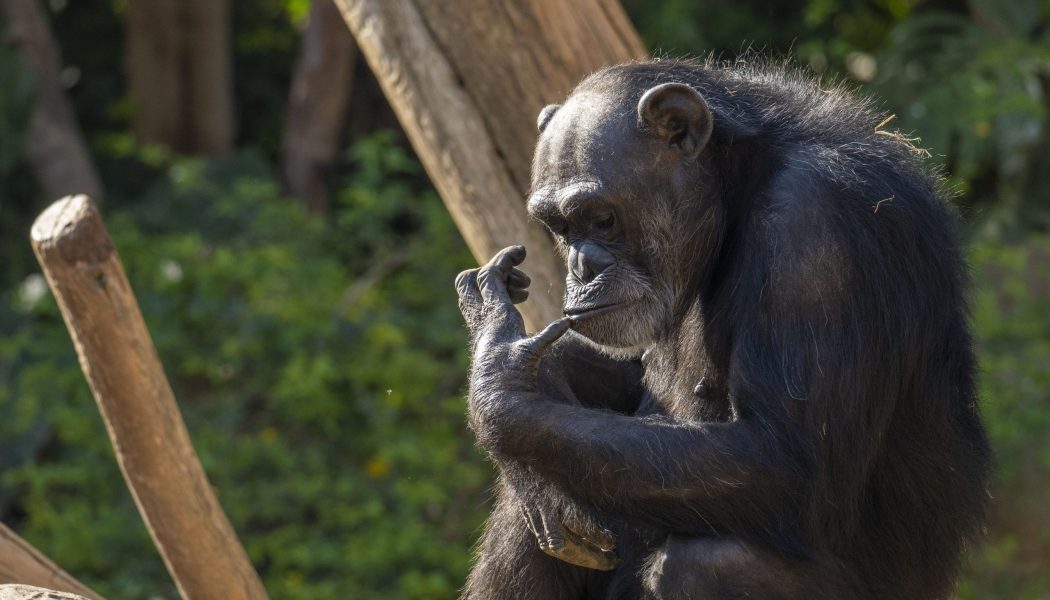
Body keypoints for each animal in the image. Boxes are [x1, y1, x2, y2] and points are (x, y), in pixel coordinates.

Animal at [455, 59, 986, 600]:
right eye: (560, 227)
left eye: (602, 219)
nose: (580, 268)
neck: (736, 193)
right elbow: (627, 382)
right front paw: (537, 381)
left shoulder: (813, 238)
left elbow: (784, 458)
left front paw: (503, 387)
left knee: (706, 564)